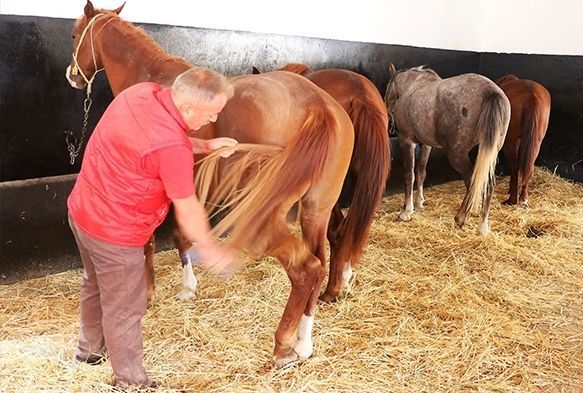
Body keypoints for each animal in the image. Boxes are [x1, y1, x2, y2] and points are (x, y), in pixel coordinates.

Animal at [65, 0, 354, 368]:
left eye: (74, 34)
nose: (72, 76)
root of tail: (319, 106)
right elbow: (182, 233)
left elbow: (157, 238)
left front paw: (158, 292)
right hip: (316, 209)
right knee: (320, 262)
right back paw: (304, 343)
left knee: (306, 268)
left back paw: (282, 347)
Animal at [388, 64, 512, 234]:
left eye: (387, 93)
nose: (390, 124)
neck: (411, 87)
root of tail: (491, 91)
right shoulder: (426, 145)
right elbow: (421, 172)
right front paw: (419, 202)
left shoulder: (407, 142)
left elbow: (409, 175)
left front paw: (407, 211)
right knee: (487, 183)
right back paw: (482, 225)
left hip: (457, 154)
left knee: (473, 181)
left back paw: (461, 218)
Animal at [496, 74, 548, 207]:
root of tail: (532, 95)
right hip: (536, 142)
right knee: (528, 166)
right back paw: (523, 198)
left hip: (509, 142)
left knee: (515, 167)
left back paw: (512, 200)